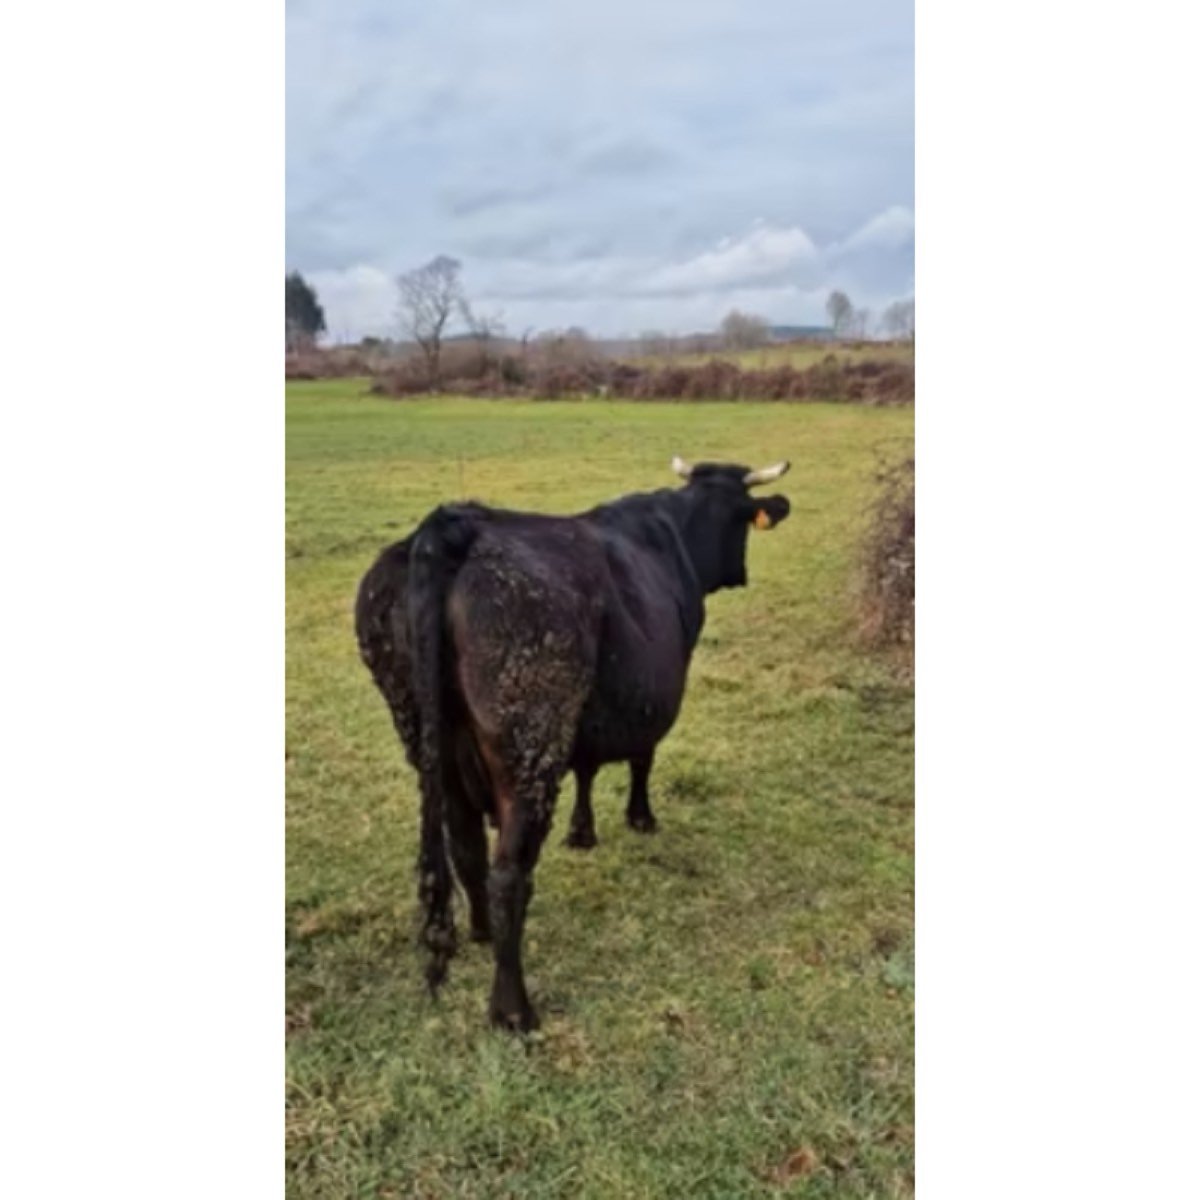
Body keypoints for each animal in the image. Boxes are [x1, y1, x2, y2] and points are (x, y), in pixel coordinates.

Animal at [355, 456, 791, 1031]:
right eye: (742, 518)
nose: (739, 573)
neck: (674, 529)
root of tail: (448, 527)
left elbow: (587, 767)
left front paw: (582, 831)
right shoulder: (653, 692)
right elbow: (643, 756)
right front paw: (640, 817)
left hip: (427, 739)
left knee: (467, 849)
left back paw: (483, 934)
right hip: (531, 746)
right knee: (509, 874)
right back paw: (513, 1009)